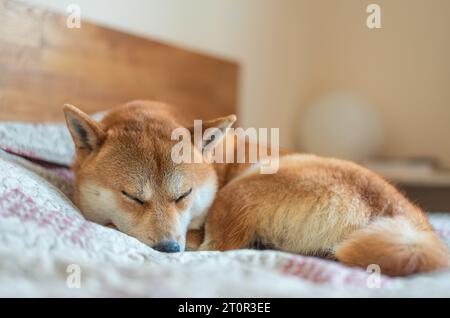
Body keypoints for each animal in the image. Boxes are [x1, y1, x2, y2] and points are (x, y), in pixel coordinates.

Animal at [64, 100, 450, 276]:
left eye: (183, 195)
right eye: (132, 196)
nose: (169, 248)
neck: (218, 164)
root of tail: (410, 220)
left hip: (243, 188)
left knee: (221, 247)